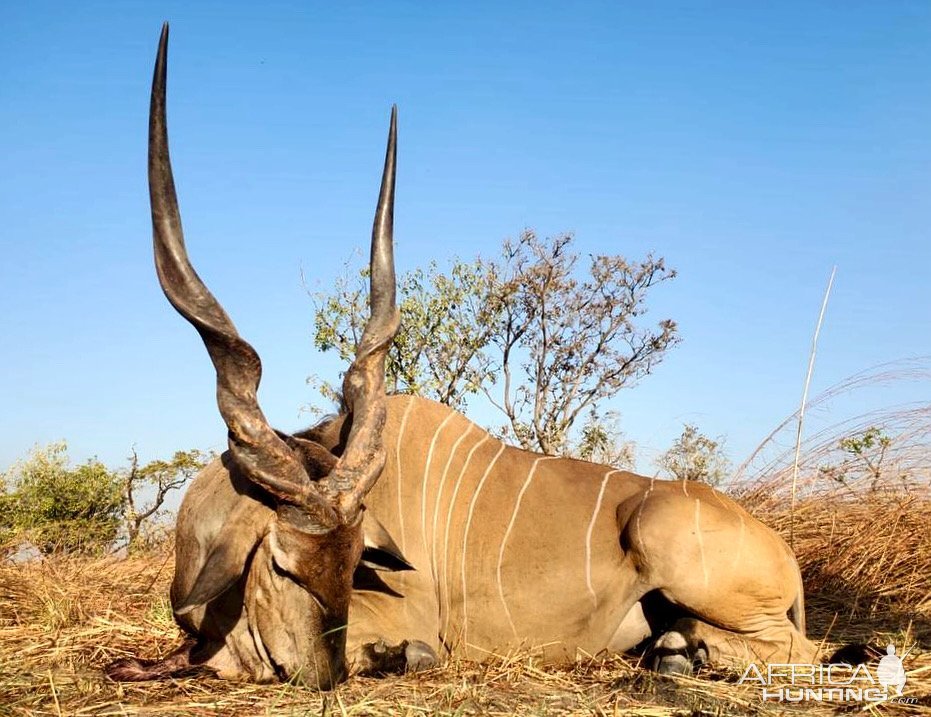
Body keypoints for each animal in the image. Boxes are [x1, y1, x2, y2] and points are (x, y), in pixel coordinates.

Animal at [109, 25, 820, 688]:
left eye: (352, 563)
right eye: (282, 565)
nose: (323, 674)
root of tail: (780, 551)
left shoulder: (408, 618)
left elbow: (407, 648)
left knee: (800, 652)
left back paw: (684, 656)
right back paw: (672, 650)